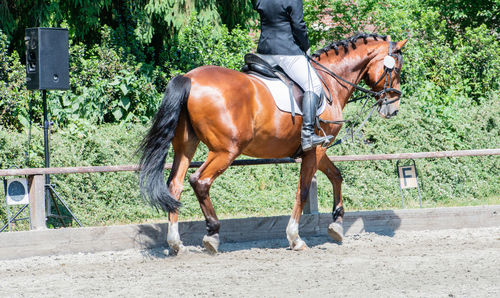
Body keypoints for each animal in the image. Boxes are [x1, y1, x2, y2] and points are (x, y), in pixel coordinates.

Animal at [137, 34, 406, 254]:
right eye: (396, 70)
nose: (393, 109)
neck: (328, 81)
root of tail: (189, 77)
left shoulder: (316, 149)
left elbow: (336, 175)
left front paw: (337, 225)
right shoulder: (316, 148)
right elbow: (303, 190)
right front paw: (295, 238)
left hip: (186, 147)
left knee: (175, 185)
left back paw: (175, 243)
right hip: (226, 150)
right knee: (200, 181)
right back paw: (212, 234)